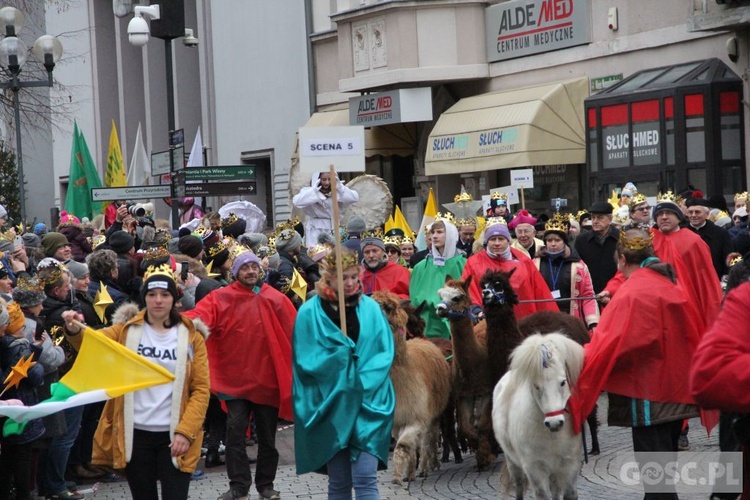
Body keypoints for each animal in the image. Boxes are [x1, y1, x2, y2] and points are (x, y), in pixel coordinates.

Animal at [494, 332, 588, 500]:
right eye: (536, 386)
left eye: (563, 382)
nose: (554, 423)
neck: (552, 437)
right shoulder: (535, 470)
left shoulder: (569, 466)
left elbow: (569, 493)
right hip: (512, 463)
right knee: (518, 485)